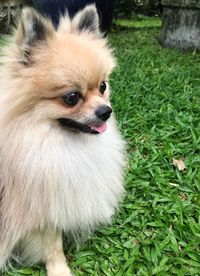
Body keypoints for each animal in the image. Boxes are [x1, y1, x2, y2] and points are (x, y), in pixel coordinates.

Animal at [0, 4, 125, 276]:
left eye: (103, 86)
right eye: (71, 97)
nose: (106, 111)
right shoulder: (41, 201)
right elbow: (53, 245)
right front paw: (59, 270)